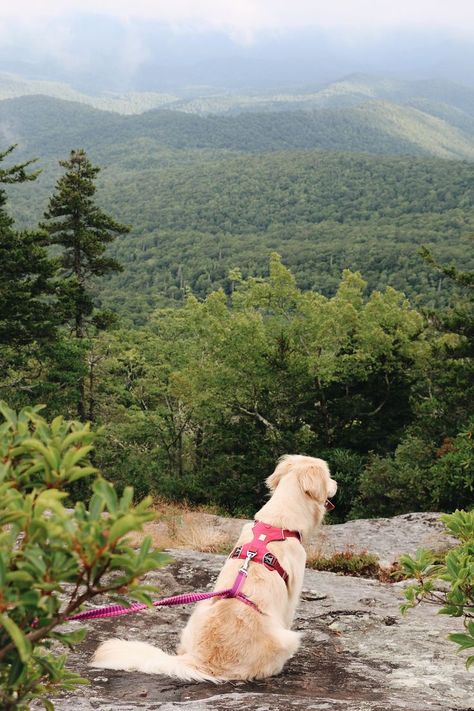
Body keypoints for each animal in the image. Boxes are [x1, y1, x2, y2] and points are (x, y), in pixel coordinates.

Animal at [91, 456, 336, 684]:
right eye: (329, 475)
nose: (336, 484)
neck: (277, 523)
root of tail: (203, 661)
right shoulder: (293, 591)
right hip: (288, 638)